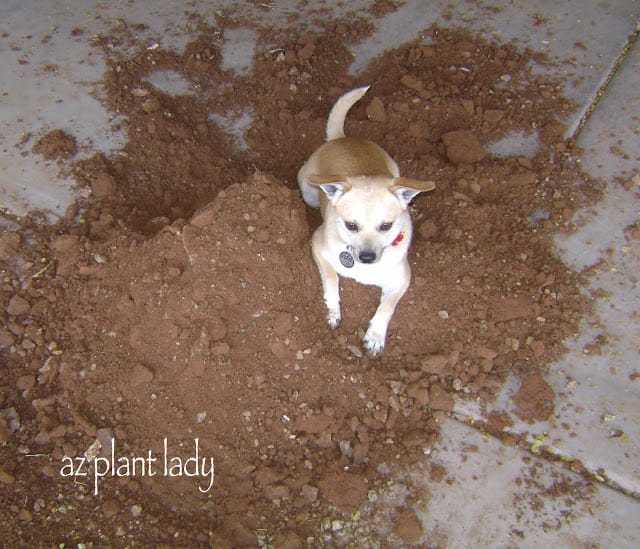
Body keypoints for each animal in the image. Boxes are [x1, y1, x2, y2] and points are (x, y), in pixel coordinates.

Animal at [297, 86, 435, 355]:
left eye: (386, 226)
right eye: (351, 225)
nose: (367, 257)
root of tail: (342, 138)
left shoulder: (402, 279)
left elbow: (387, 307)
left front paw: (375, 335)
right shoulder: (317, 246)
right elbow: (331, 279)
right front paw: (333, 310)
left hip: (396, 171)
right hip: (308, 191)